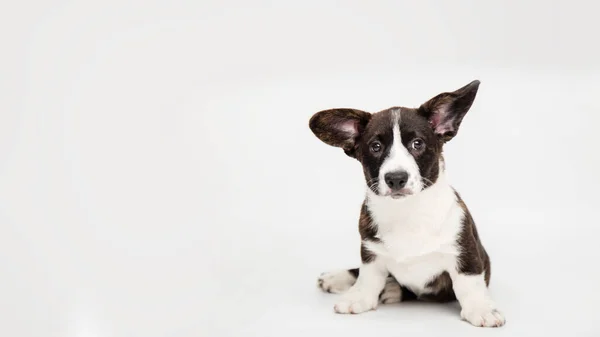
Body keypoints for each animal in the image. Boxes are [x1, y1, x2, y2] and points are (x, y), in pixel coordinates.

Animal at [308, 80, 504, 326]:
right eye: (375, 147)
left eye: (417, 143)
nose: (396, 178)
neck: (407, 210)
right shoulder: (370, 251)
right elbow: (368, 276)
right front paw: (359, 296)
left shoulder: (464, 253)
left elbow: (470, 283)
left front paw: (481, 308)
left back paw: (390, 289)